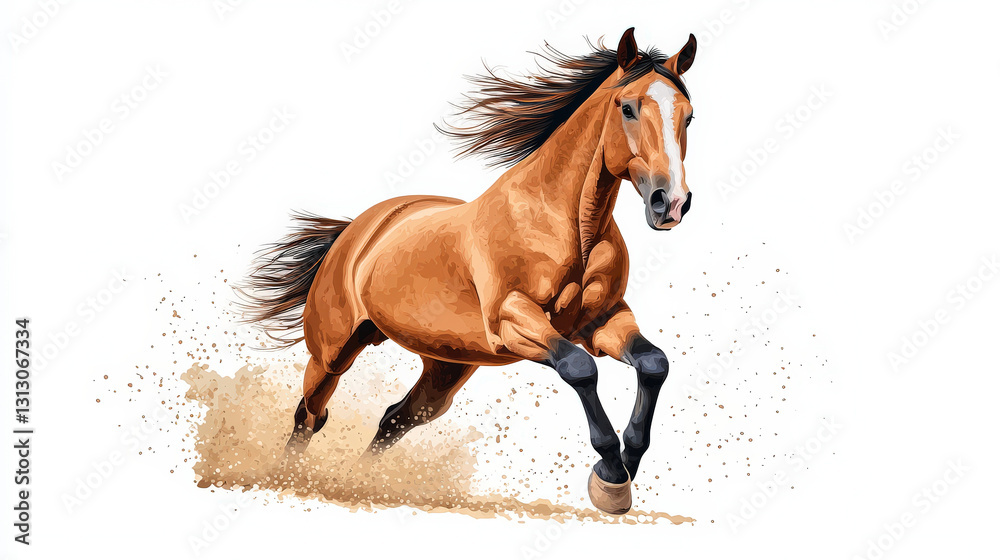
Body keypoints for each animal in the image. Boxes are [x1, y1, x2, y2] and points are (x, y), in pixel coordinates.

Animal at [239, 28, 697, 515]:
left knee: (396, 419)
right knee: (310, 414)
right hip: (332, 351)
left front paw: (624, 466)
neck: (568, 225)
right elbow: (579, 368)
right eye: (627, 107)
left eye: (688, 116)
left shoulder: (602, 320)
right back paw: (289, 480)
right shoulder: (511, 321)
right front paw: (610, 476)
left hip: (445, 368)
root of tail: (360, 229)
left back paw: (361, 485)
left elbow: (653, 363)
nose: (670, 203)